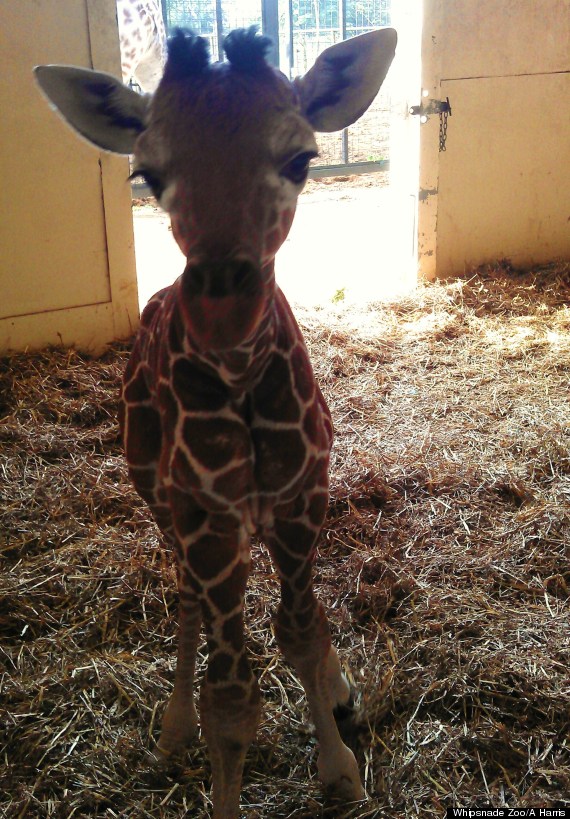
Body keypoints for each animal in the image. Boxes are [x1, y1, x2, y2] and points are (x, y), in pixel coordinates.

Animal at [35, 26, 397, 818]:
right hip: (157, 495)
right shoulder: (206, 516)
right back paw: (173, 727)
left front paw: (340, 766)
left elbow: (301, 629)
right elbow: (230, 701)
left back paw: (338, 689)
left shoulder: (301, 495)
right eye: (148, 173)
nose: (221, 309)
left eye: (301, 158)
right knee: (186, 598)